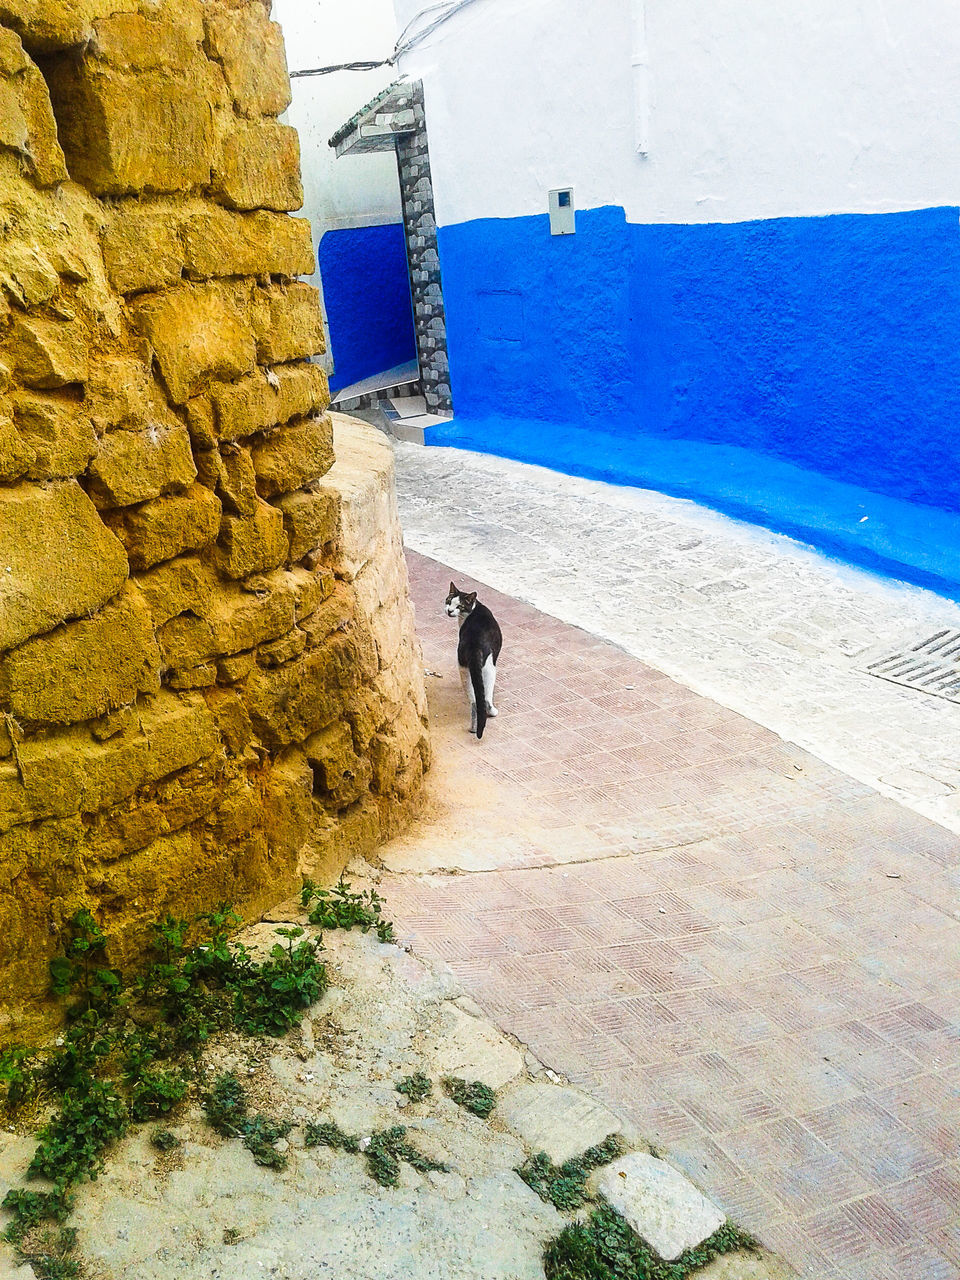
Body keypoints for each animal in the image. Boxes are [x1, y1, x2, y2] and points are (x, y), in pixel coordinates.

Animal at [445, 583, 504, 742]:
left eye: (459, 606)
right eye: (449, 601)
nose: (449, 611)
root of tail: (475, 644)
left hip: (463, 667)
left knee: (473, 701)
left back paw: (473, 728)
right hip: (489, 668)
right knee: (484, 698)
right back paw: (492, 712)